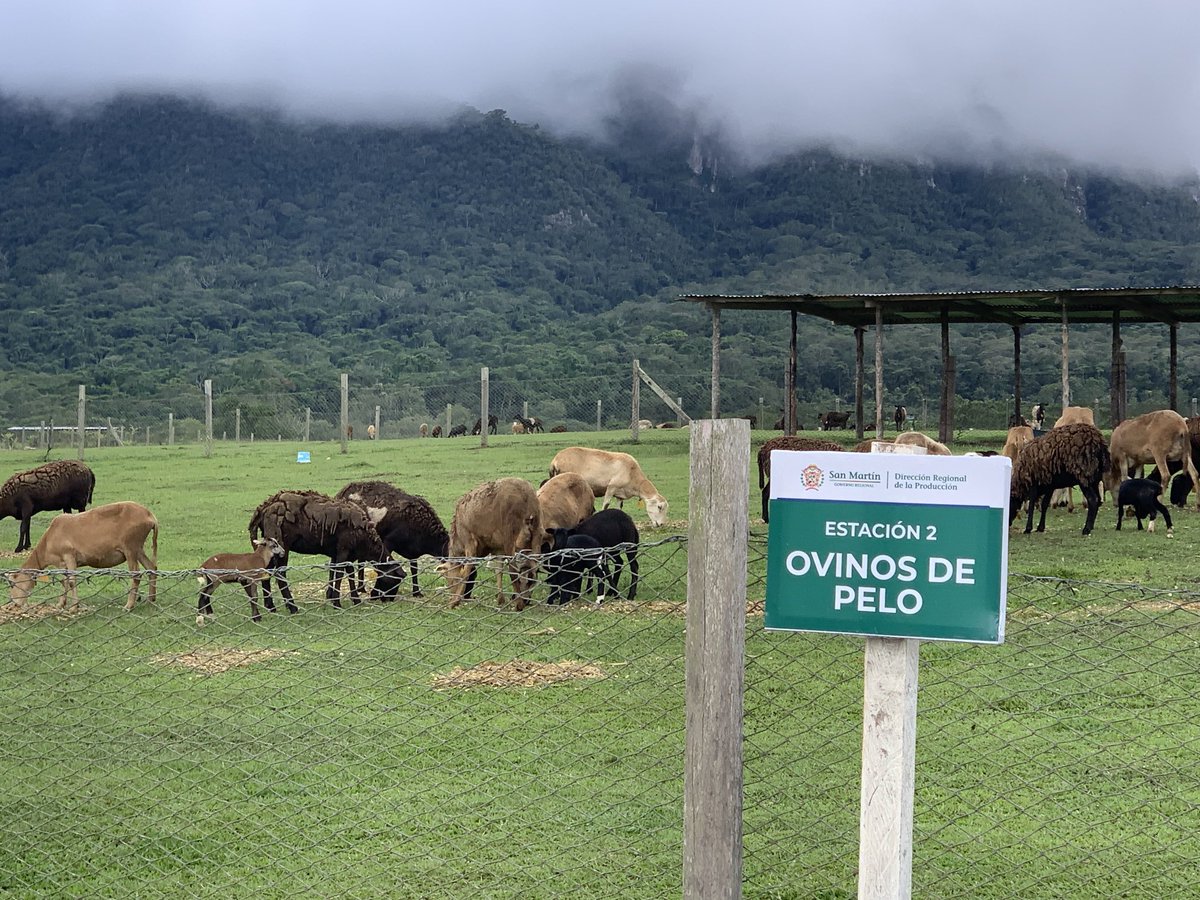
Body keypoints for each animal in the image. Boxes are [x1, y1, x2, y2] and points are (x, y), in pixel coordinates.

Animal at [6, 501, 157, 614]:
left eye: (12, 583)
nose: (15, 603)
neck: (48, 541)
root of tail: (150, 516)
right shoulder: (62, 563)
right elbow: (64, 581)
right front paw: (61, 604)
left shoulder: (69, 556)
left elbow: (72, 581)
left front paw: (74, 607)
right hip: (138, 549)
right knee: (151, 568)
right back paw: (151, 599)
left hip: (130, 547)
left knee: (136, 575)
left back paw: (129, 605)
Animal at [247, 489, 388, 619]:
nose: (385, 598)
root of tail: (263, 508)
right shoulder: (344, 549)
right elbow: (340, 574)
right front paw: (337, 603)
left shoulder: (341, 552)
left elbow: (343, 571)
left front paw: (349, 598)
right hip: (281, 546)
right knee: (280, 575)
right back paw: (292, 607)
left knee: (267, 572)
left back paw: (271, 606)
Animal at [448, 480, 547, 614]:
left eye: (450, 580)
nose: (451, 595)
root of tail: (528, 499)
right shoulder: (498, 548)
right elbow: (498, 570)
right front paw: (500, 600)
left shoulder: (469, 540)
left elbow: (467, 569)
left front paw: (455, 602)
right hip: (537, 533)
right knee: (533, 571)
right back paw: (525, 599)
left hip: (510, 534)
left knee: (513, 570)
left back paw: (519, 605)